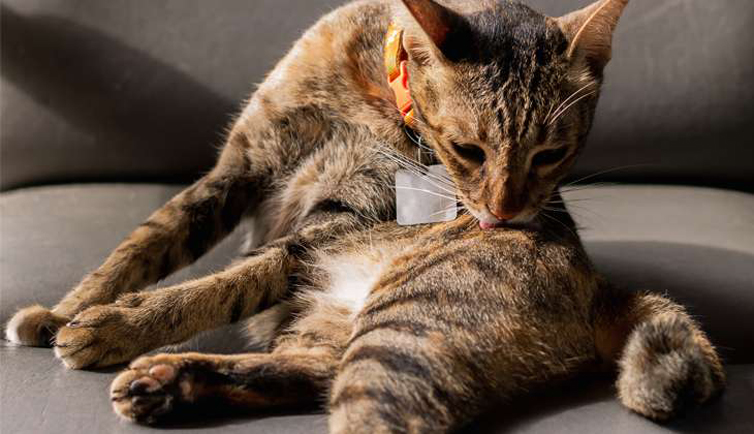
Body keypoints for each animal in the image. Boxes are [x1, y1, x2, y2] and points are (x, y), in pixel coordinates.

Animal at [5, 1, 724, 432]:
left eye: (553, 153)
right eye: (468, 150)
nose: (504, 213)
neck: (368, 102)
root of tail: (603, 285)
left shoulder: (330, 225)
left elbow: (214, 286)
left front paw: (110, 327)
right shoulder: (239, 168)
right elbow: (140, 249)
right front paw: (62, 313)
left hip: (401, 333)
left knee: (365, 412)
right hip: (325, 324)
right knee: (309, 372)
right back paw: (165, 383)